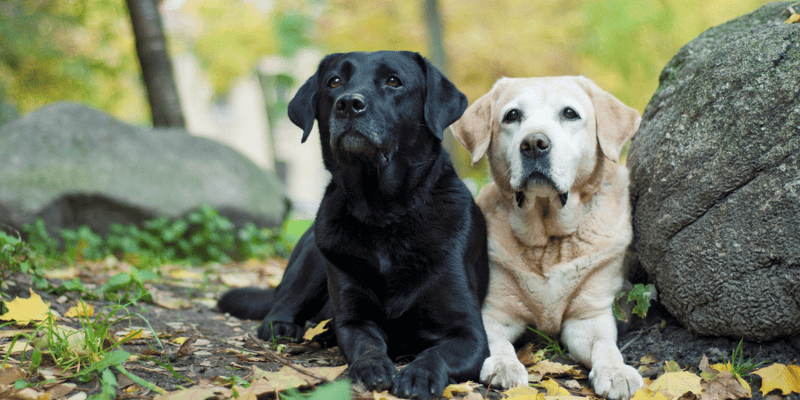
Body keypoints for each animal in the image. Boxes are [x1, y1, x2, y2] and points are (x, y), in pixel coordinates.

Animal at [219, 51, 488, 398]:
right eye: (335, 81)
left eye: (394, 81)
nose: (348, 104)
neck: (384, 215)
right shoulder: (353, 320)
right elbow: (366, 343)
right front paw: (371, 366)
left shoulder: (470, 334)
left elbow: (437, 352)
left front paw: (420, 374)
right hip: (313, 257)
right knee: (278, 307)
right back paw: (289, 327)